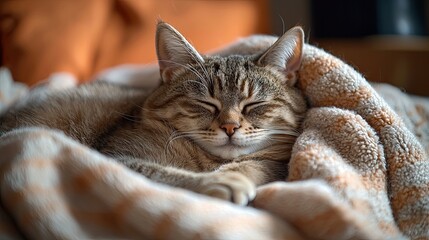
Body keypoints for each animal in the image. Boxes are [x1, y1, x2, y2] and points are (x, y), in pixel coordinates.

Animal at [0, 22, 308, 205]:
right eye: (206, 103)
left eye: (253, 105)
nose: (230, 127)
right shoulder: (116, 158)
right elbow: (164, 173)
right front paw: (219, 181)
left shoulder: (271, 161)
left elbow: (256, 163)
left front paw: (238, 173)